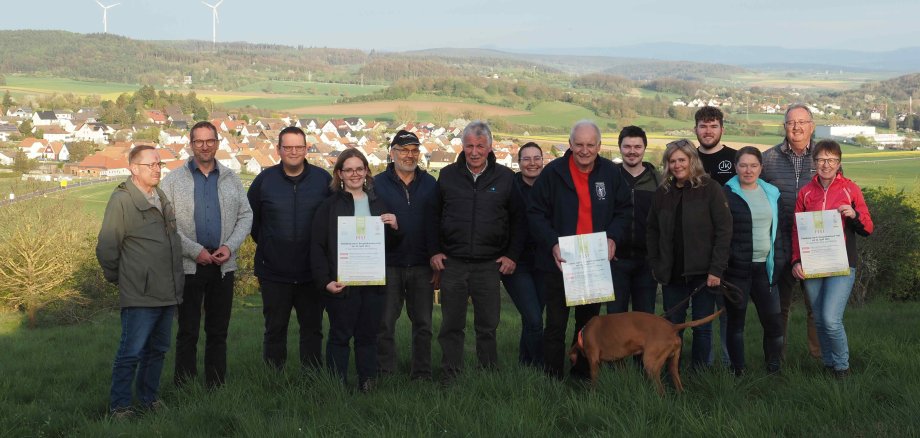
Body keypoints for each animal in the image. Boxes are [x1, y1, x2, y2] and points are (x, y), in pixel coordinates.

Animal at [568, 308, 724, 396]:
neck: (584, 334)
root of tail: (672, 326)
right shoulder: (619, 361)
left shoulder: (593, 361)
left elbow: (594, 381)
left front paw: (592, 394)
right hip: (672, 365)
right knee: (679, 387)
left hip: (650, 364)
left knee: (661, 391)